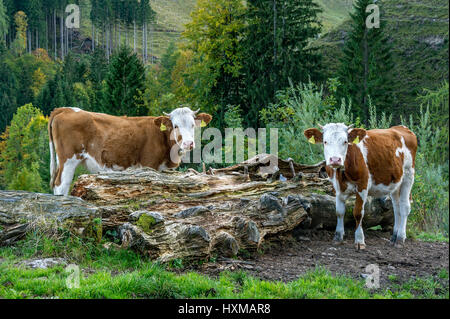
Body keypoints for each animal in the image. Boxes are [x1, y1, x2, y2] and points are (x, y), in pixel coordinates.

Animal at [47, 107, 213, 196]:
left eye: (193, 125)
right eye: (175, 125)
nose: (188, 143)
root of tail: (66, 109)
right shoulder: (149, 165)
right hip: (68, 159)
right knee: (61, 184)